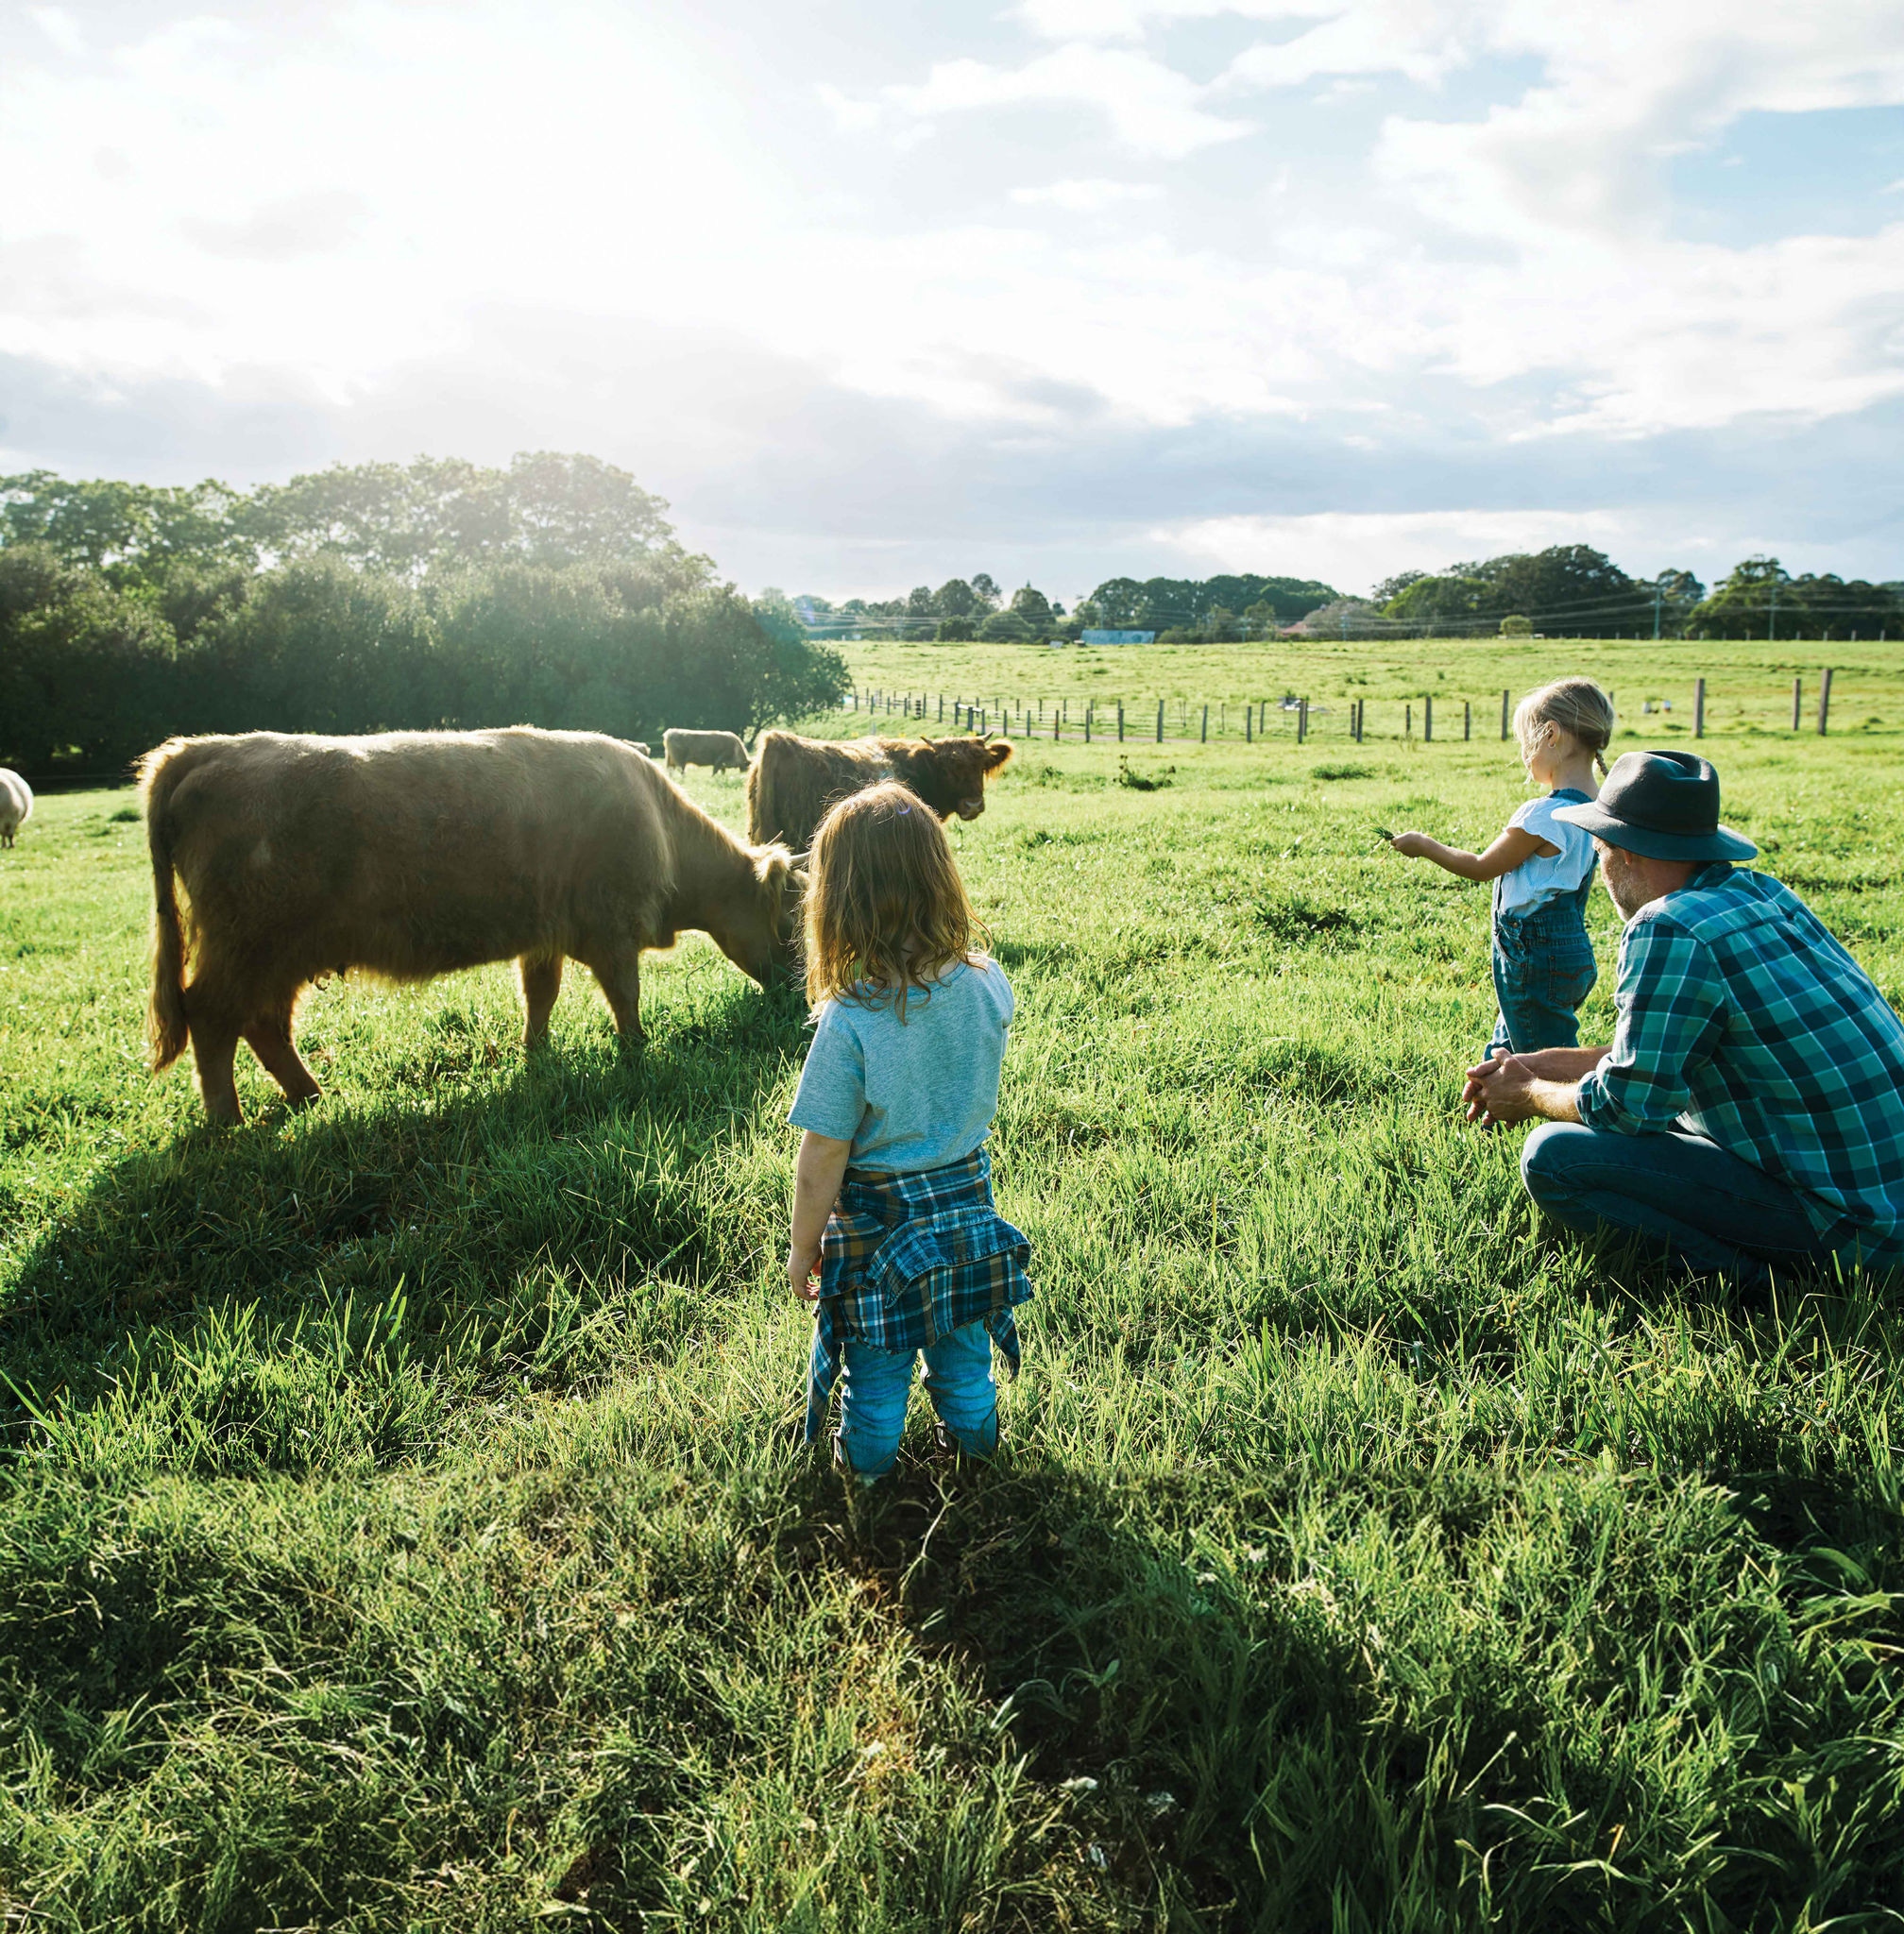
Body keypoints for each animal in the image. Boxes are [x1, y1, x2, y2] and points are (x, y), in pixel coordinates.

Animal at [143, 722, 805, 1121]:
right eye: (792, 923)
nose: (801, 997)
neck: (663, 830)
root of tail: (203, 749)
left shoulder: (545, 936)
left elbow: (541, 996)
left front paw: (536, 1054)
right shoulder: (612, 930)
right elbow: (626, 998)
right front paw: (636, 1054)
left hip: (279, 956)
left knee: (264, 1025)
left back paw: (312, 1098)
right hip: (246, 945)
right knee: (212, 1017)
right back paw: (227, 1122)